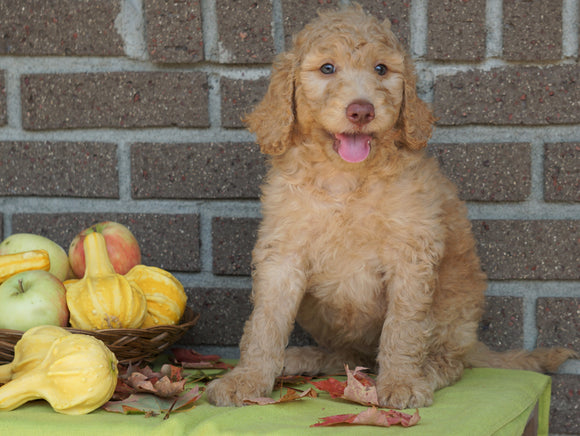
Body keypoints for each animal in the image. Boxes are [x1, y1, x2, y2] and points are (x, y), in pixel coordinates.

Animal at [204, 5, 576, 408]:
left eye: (381, 69)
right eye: (327, 68)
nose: (361, 111)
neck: (346, 179)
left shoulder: (411, 253)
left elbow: (403, 327)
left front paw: (401, 383)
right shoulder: (282, 252)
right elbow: (266, 323)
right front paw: (248, 379)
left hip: (453, 307)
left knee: (448, 360)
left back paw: (424, 373)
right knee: (350, 355)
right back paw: (304, 359)